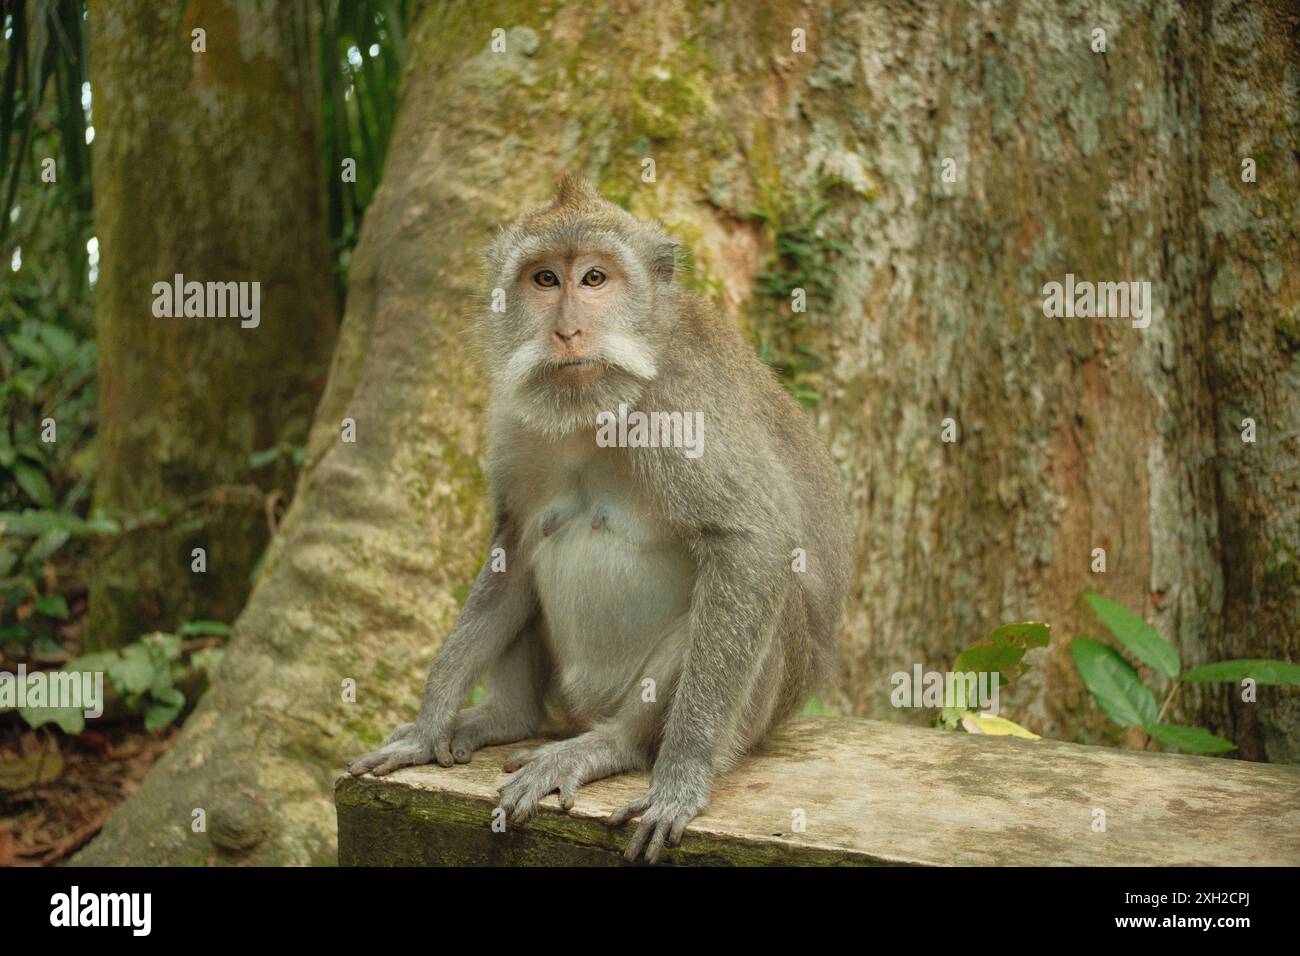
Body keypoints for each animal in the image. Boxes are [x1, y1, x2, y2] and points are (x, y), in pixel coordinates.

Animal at [348, 175, 852, 864]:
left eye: (594, 279)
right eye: (544, 280)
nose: (567, 332)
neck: (598, 406)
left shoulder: (681, 404)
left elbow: (752, 543)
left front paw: (681, 778)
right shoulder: (514, 413)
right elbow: (514, 542)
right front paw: (427, 725)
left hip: (750, 713)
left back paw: (613, 746)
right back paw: (507, 718)